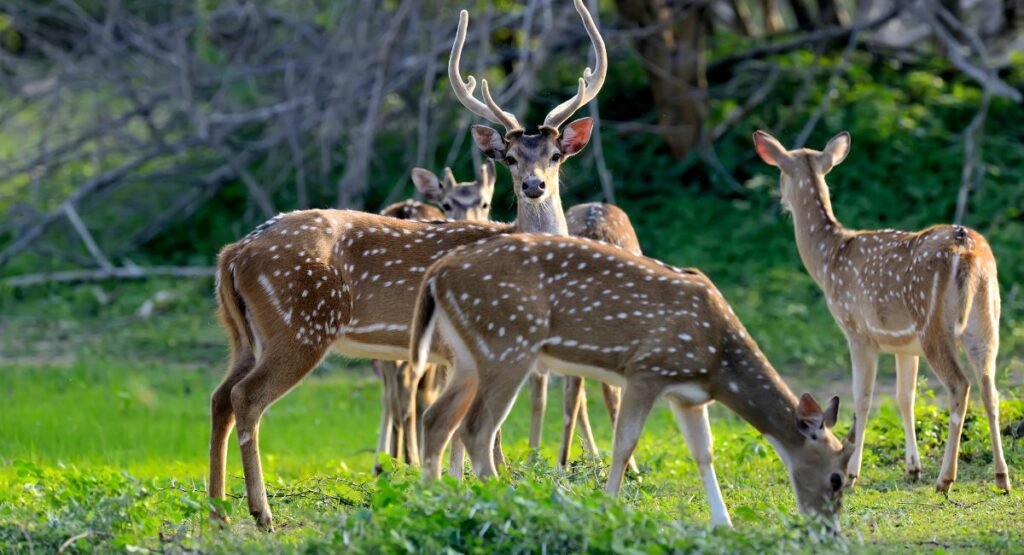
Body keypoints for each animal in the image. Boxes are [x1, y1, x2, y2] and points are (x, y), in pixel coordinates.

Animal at [374, 159, 497, 475]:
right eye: (447, 203)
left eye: (485, 202)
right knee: (408, 385)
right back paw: (411, 459)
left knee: (391, 387)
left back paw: (389, 460)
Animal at [409, 232, 856, 528]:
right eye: (837, 478)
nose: (829, 530)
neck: (717, 359)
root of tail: (436, 274)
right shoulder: (647, 369)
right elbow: (624, 444)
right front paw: (608, 506)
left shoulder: (688, 396)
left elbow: (703, 453)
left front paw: (723, 523)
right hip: (508, 343)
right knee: (476, 429)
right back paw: (507, 501)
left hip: (468, 356)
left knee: (437, 419)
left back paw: (433, 498)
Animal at [753, 132, 1007, 495]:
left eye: (780, 174)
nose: (782, 203)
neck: (829, 260)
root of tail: (966, 247)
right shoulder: (904, 346)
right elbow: (905, 397)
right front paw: (912, 468)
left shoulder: (857, 331)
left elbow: (861, 398)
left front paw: (851, 473)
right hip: (987, 321)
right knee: (990, 389)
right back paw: (1002, 478)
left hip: (932, 325)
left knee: (960, 386)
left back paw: (945, 479)